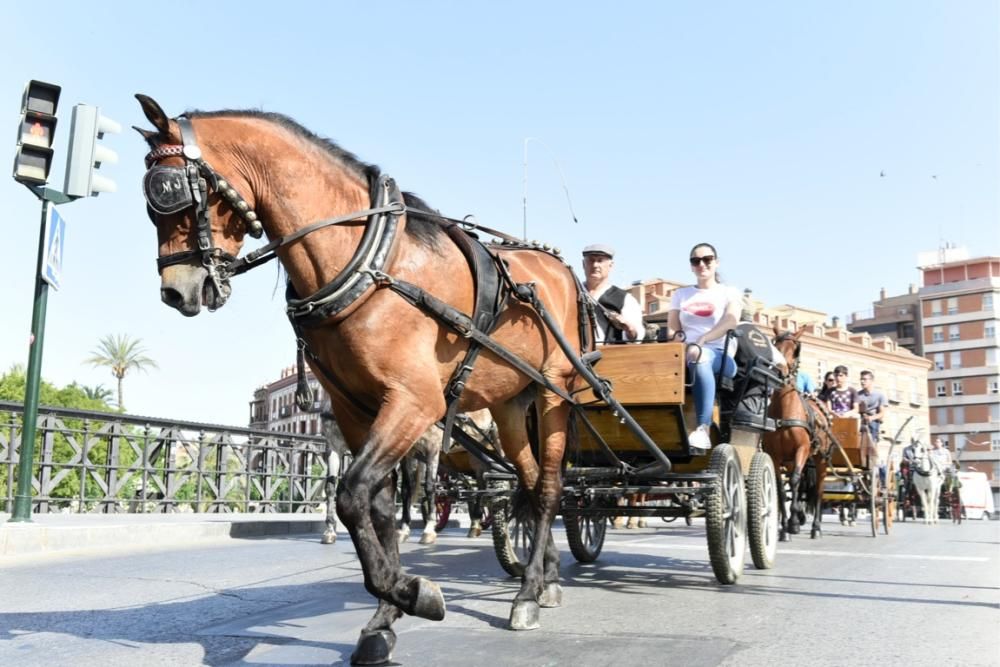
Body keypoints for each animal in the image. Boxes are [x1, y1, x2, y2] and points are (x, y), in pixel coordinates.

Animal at [133, 96, 584, 664]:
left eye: (169, 190)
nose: (176, 291)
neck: (367, 261)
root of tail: (559, 267)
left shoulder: (415, 403)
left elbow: (354, 495)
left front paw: (414, 592)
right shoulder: (355, 412)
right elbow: (377, 508)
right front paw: (385, 617)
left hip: (552, 394)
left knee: (547, 489)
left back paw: (525, 594)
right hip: (507, 405)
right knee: (525, 484)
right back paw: (545, 576)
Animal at [760, 328, 832, 544]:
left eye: (796, 349)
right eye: (775, 345)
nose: (779, 370)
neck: (785, 410)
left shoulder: (802, 449)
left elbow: (794, 482)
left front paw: (791, 523)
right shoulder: (775, 456)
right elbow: (781, 489)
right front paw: (784, 528)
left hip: (820, 459)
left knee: (818, 489)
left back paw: (815, 527)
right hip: (791, 460)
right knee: (798, 487)